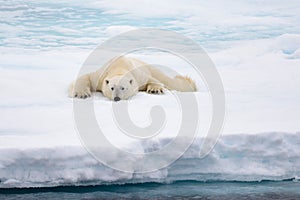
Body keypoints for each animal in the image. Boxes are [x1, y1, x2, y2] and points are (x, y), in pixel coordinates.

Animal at [69, 56, 198, 101]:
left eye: (123, 88)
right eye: (112, 88)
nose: (117, 98)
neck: (119, 67)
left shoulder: (138, 76)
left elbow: (153, 80)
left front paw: (154, 90)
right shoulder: (101, 76)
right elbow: (87, 77)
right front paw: (82, 94)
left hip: (150, 68)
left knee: (172, 82)